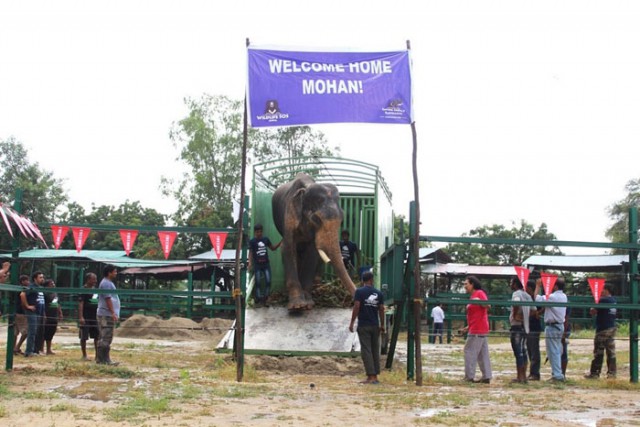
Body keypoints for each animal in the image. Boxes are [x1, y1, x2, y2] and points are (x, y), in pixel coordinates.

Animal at [272, 173, 358, 310]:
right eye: (316, 219)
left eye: (342, 219)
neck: (307, 187)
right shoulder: (289, 214)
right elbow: (288, 248)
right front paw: (297, 306)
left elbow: (312, 253)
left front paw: (308, 304)